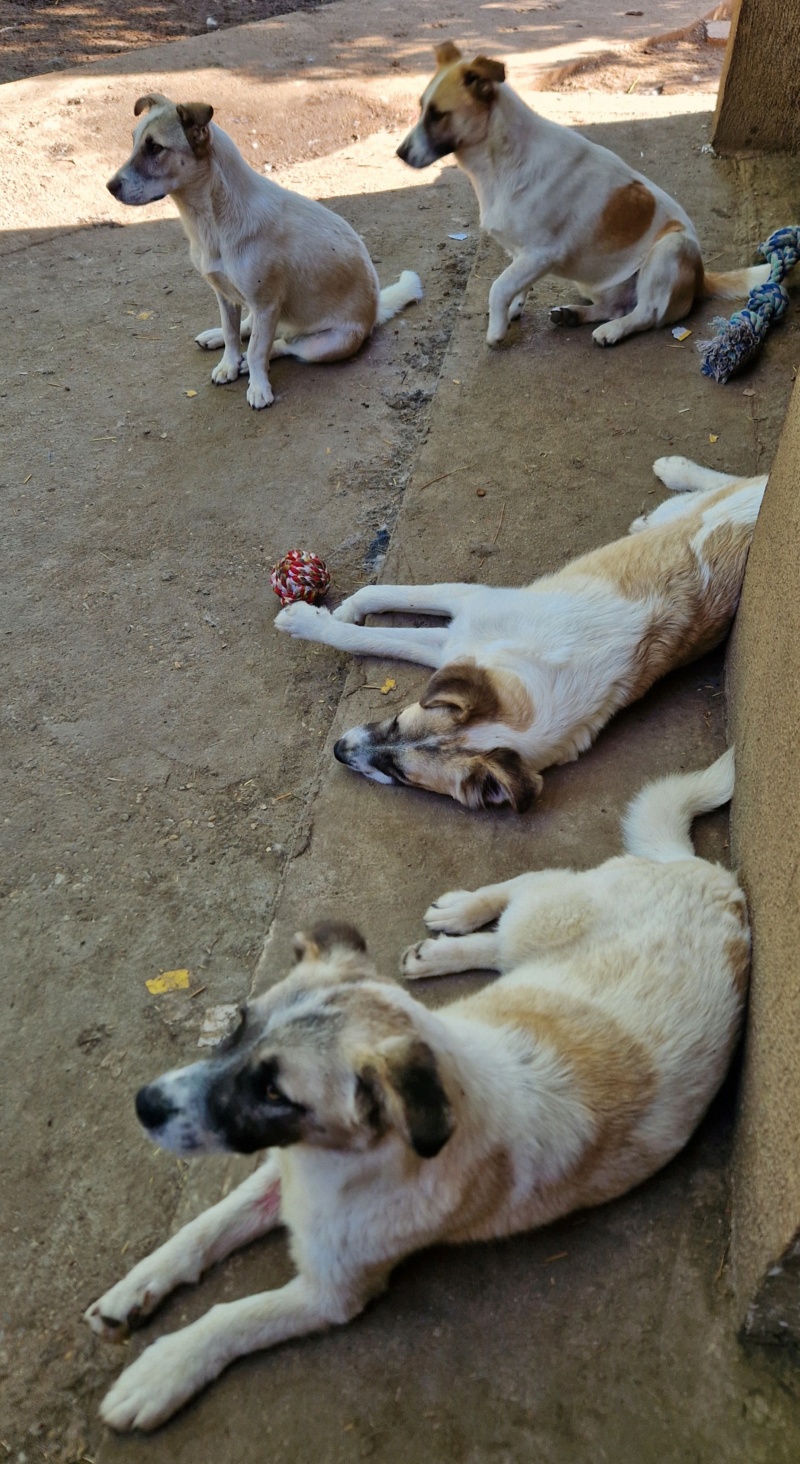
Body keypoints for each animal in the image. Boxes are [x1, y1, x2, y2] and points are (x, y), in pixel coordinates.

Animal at [84, 749, 744, 1434]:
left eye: (275, 1093)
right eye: (239, 1023)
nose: (145, 1107)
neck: (341, 1163)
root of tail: (717, 882)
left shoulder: (331, 1293)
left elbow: (232, 1317)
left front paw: (160, 1372)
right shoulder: (278, 1174)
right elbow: (204, 1228)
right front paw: (136, 1287)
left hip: (545, 925)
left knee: (529, 895)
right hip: (545, 926)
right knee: (525, 890)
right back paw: (453, 921)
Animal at [105, 96, 421, 406]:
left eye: (155, 148)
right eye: (135, 142)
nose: (109, 187)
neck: (212, 223)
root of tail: (375, 311)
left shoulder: (266, 305)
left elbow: (258, 350)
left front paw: (257, 386)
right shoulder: (225, 295)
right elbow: (232, 333)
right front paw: (228, 364)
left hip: (327, 343)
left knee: (283, 345)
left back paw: (256, 361)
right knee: (249, 329)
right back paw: (216, 338)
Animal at [275, 453, 767, 813]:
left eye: (401, 774)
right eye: (397, 719)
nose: (338, 750)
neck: (537, 681)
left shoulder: (459, 637)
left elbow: (369, 636)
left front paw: (305, 620)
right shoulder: (468, 613)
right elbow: (385, 596)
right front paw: (340, 609)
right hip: (692, 507)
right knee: (731, 480)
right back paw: (675, 473)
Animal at [395, 44, 779, 346]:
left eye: (437, 115)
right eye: (420, 109)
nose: (399, 153)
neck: (502, 161)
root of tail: (701, 278)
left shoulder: (540, 253)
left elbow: (499, 287)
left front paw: (496, 329)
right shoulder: (522, 255)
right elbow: (516, 285)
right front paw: (514, 309)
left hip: (670, 250)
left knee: (647, 313)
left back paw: (613, 331)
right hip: (598, 282)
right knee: (615, 306)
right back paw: (575, 315)